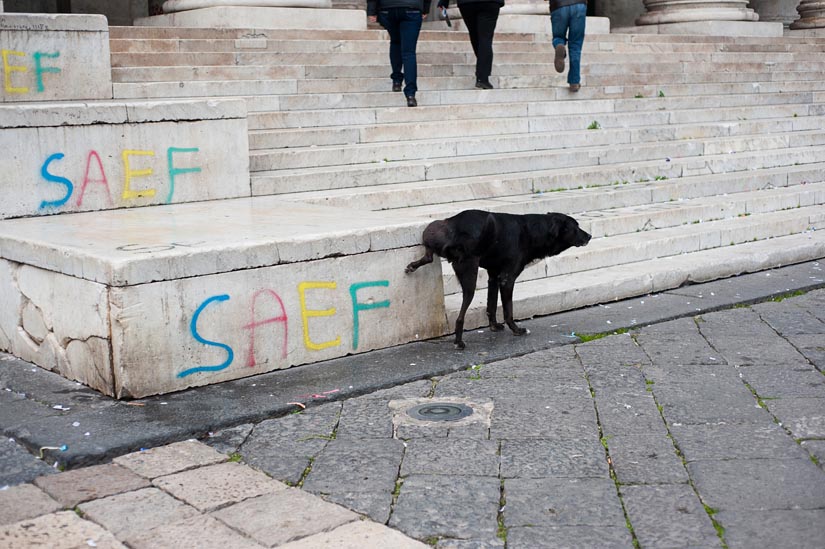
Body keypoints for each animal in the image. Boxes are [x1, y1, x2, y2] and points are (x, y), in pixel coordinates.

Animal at [404, 208, 584, 348]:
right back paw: (459, 341)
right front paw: (516, 330)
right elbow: (508, 310)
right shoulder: (506, 279)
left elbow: (491, 305)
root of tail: (455, 236)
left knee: (428, 256)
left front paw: (494, 326)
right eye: (575, 227)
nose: (588, 236)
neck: (531, 231)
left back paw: (412, 266)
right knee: (460, 316)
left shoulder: (493, 277)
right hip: (470, 279)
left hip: (432, 230)